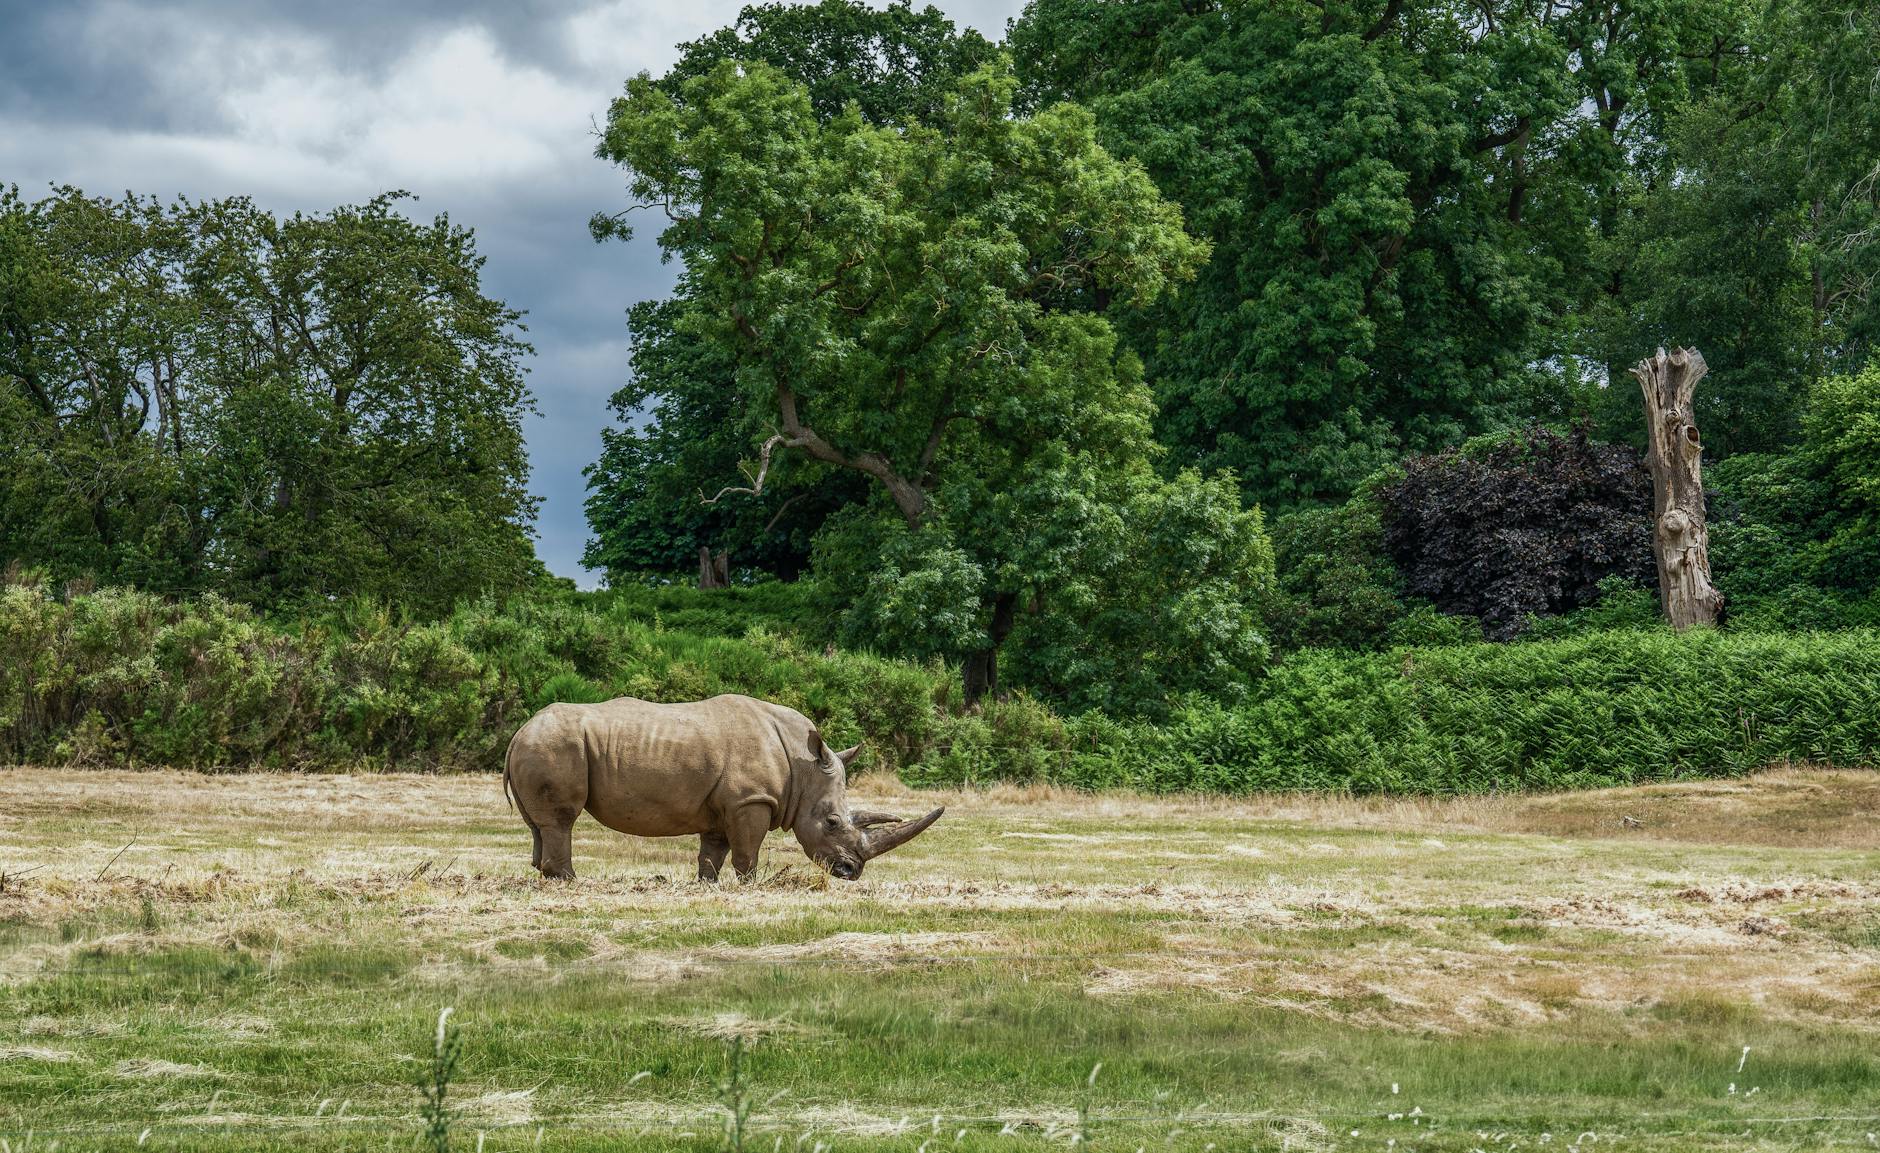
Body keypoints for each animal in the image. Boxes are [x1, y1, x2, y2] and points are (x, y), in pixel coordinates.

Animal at [502, 694, 943, 882]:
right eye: (833, 822)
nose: (852, 872)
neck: (803, 768)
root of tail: (519, 731)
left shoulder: (723, 805)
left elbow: (713, 851)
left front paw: (707, 884)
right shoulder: (751, 800)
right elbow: (747, 852)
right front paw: (750, 886)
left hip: (541, 744)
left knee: (539, 826)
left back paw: (547, 876)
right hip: (555, 745)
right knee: (561, 820)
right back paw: (571, 881)